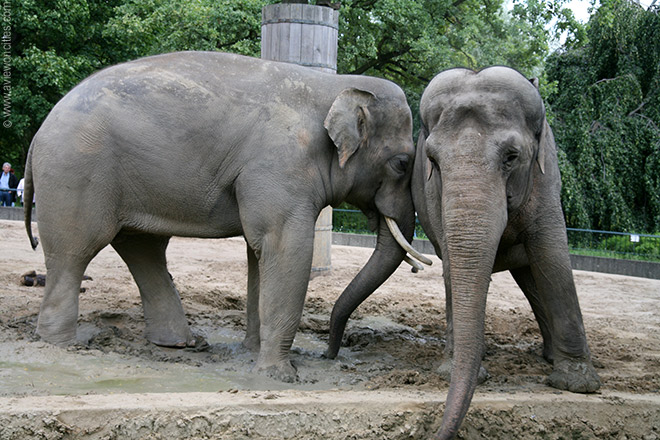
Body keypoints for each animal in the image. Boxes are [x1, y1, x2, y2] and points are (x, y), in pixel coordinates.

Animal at [22, 51, 430, 382]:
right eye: (401, 163)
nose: (329, 355)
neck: (335, 85)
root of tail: (38, 134)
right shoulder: (279, 164)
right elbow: (285, 246)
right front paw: (280, 375)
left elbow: (259, 252)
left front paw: (254, 354)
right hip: (76, 172)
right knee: (75, 253)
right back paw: (63, 344)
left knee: (144, 249)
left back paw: (181, 344)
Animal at [326, 66, 601, 438]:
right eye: (432, 160)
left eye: (512, 157)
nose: (332, 353)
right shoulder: (434, 194)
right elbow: (453, 266)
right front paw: (453, 371)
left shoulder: (547, 178)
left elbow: (552, 255)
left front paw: (578, 386)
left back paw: (549, 359)